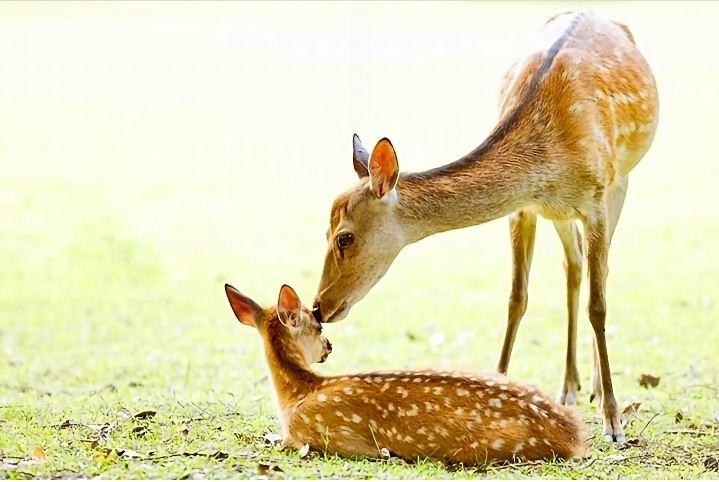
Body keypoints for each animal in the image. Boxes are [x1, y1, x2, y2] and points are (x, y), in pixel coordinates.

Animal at [310, 10, 659, 444]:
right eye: (325, 232)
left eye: (344, 237)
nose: (319, 306)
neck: (548, 161)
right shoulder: (524, 208)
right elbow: (515, 299)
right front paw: (499, 389)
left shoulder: (595, 199)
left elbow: (599, 305)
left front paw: (613, 421)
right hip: (562, 214)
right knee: (574, 267)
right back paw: (569, 387)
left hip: (620, 182)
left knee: (601, 274)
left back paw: (594, 389)